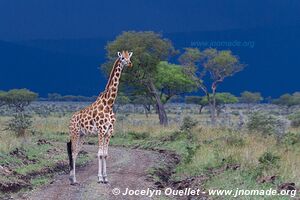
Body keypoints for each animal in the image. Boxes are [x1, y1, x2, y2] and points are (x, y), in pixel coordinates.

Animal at [68, 50, 134, 184]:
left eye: (129, 57)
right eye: (122, 58)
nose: (130, 63)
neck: (109, 104)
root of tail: (71, 119)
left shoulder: (109, 131)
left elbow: (105, 154)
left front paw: (105, 178)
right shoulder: (100, 130)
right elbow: (99, 154)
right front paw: (99, 178)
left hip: (82, 135)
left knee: (76, 152)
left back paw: (73, 178)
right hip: (74, 133)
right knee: (72, 152)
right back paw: (73, 179)